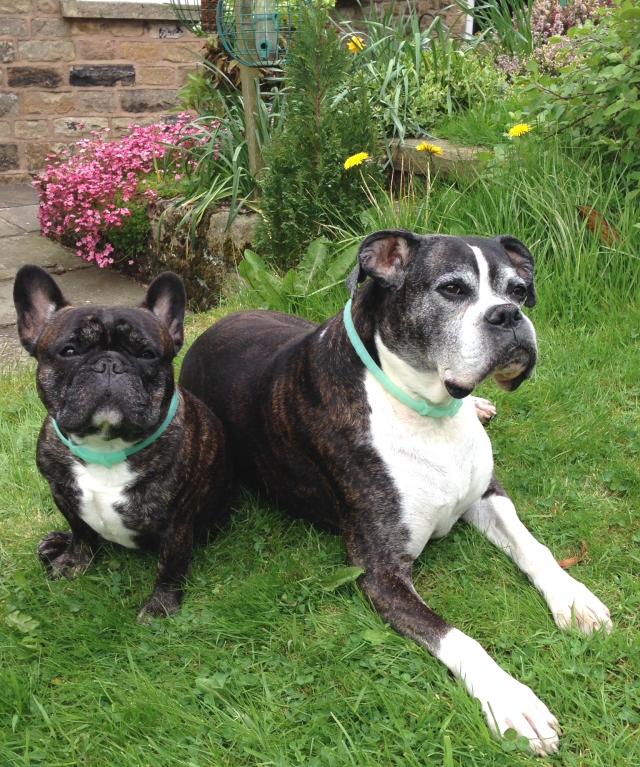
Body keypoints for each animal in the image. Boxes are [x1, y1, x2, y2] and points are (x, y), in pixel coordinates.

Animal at [14, 265, 231, 620]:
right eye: (69, 351)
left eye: (147, 354)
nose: (109, 363)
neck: (105, 447)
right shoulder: (62, 493)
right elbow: (81, 532)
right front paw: (74, 561)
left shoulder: (177, 521)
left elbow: (170, 564)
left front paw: (160, 606)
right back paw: (55, 544)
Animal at [179, 230, 612, 754]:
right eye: (452, 289)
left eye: (517, 289)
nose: (509, 315)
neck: (429, 409)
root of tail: (218, 323)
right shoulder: (381, 572)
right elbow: (456, 636)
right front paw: (511, 700)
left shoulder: (487, 494)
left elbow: (534, 547)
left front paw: (573, 598)